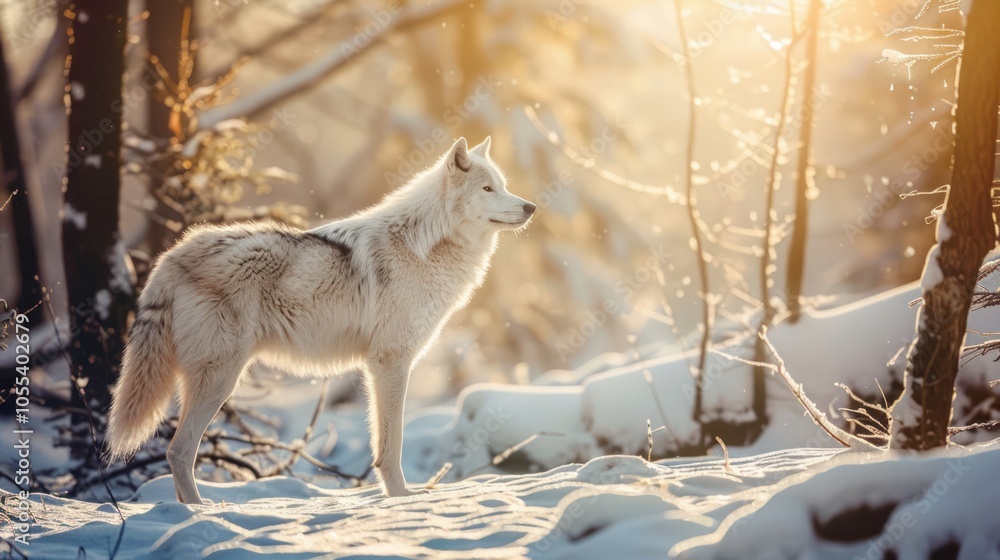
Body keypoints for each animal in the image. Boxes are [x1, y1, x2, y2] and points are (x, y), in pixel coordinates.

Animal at [106, 137, 534, 504]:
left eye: (503, 186)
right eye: (487, 189)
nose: (530, 207)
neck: (425, 244)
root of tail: (172, 255)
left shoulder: (378, 365)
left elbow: (382, 443)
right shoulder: (390, 362)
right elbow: (392, 445)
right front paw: (402, 499)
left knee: (177, 451)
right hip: (221, 378)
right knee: (178, 451)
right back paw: (199, 512)